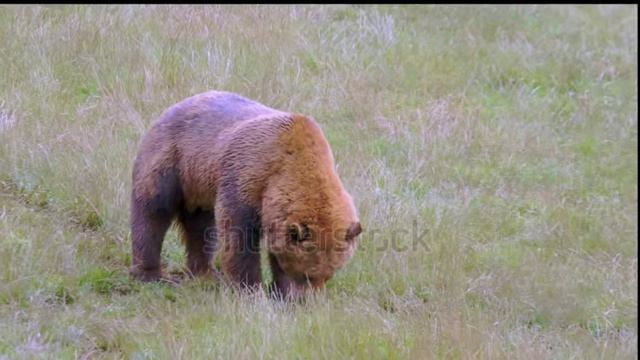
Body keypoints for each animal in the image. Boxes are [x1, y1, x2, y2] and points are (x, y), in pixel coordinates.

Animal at [130, 90, 360, 298]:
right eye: (306, 275)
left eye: (328, 274)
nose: (306, 298)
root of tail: (175, 105)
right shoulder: (246, 178)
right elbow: (239, 237)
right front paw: (251, 288)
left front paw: (281, 291)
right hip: (173, 160)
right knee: (153, 212)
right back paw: (152, 273)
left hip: (200, 184)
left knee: (200, 226)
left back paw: (205, 273)